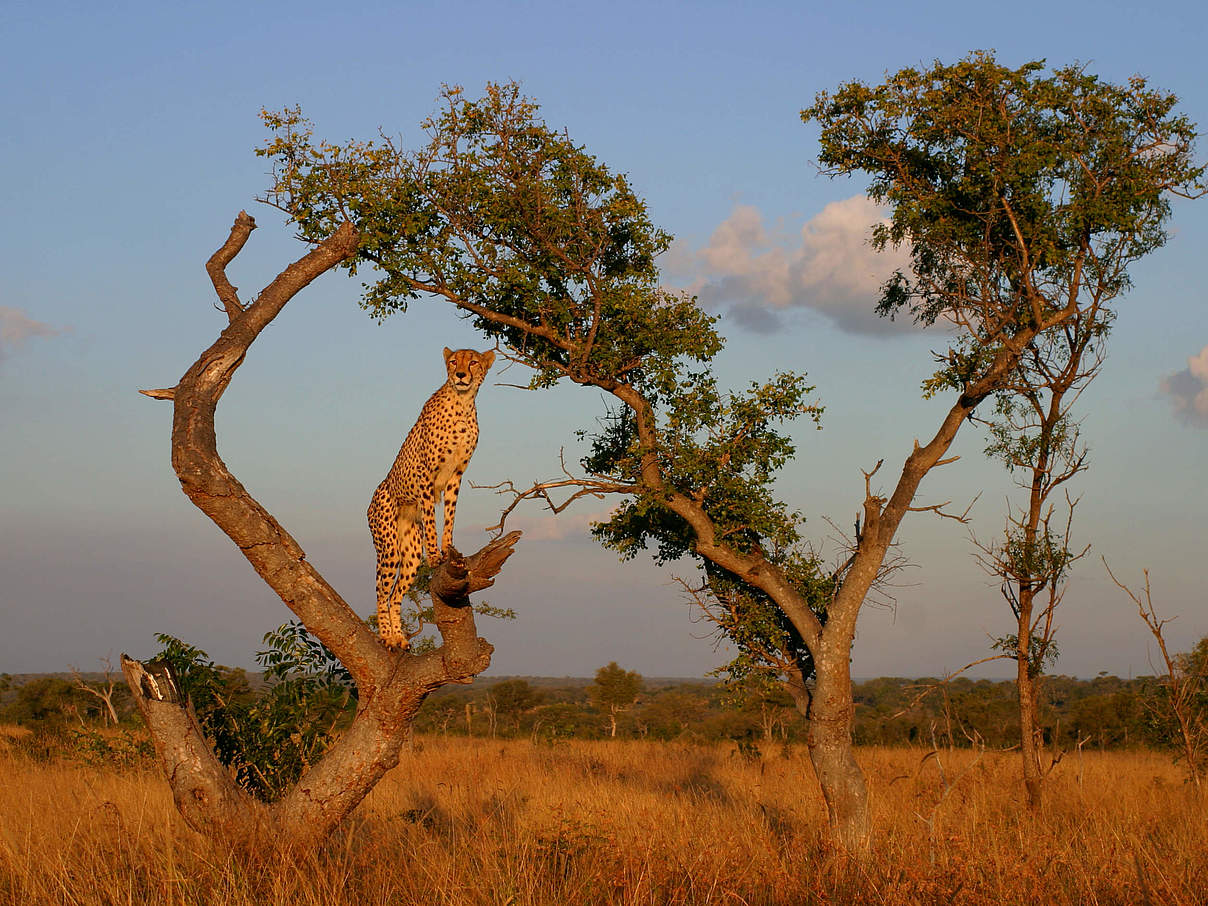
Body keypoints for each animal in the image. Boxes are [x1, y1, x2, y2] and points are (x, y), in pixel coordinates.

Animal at [364, 343, 492, 647]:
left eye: (473, 362)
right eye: (454, 361)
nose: (460, 375)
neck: (462, 404)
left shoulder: (456, 474)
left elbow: (450, 514)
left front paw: (447, 548)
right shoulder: (427, 475)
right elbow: (432, 517)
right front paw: (435, 554)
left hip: (410, 555)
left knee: (395, 594)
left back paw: (399, 637)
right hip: (388, 548)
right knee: (381, 591)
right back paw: (386, 637)